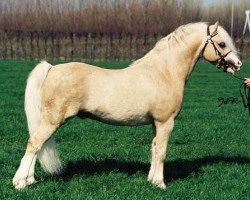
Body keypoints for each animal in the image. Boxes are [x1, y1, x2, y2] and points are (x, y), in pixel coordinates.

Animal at [12, 21, 242, 189]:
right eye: (222, 44)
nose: (238, 64)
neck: (164, 72)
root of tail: (51, 68)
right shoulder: (165, 122)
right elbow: (162, 152)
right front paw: (161, 184)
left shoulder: (155, 124)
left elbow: (154, 149)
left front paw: (152, 180)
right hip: (53, 121)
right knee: (34, 144)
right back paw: (20, 183)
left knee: (37, 145)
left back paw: (29, 180)